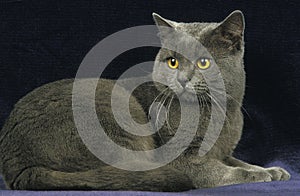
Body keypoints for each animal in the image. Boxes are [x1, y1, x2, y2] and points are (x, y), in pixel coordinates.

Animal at [0, 10, 290, 191]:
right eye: (172, 61)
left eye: (203, 62)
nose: (182, 79)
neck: (221, 114)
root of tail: (17, 165)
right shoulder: (183, 158)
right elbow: (223, 171)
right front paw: (260, 175)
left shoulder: (224, 150)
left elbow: (236, 161)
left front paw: (273, 170)